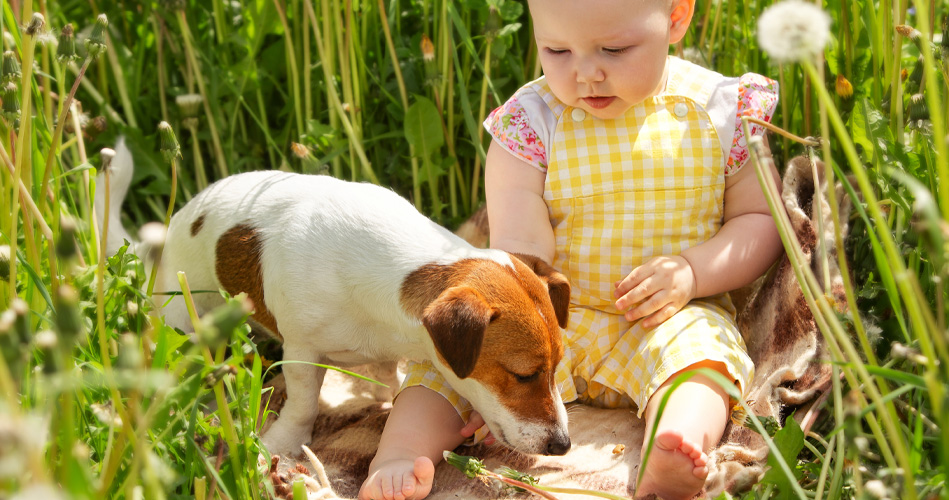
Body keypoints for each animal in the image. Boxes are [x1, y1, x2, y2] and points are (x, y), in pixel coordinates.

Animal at [96, 140, 572, 458]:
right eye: (524, 375)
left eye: (556, 368)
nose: (563, 445)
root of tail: (163, 240)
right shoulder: (301, 350)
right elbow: (304, 405)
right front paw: (283, 443)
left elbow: (388, 375)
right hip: (185, 324)